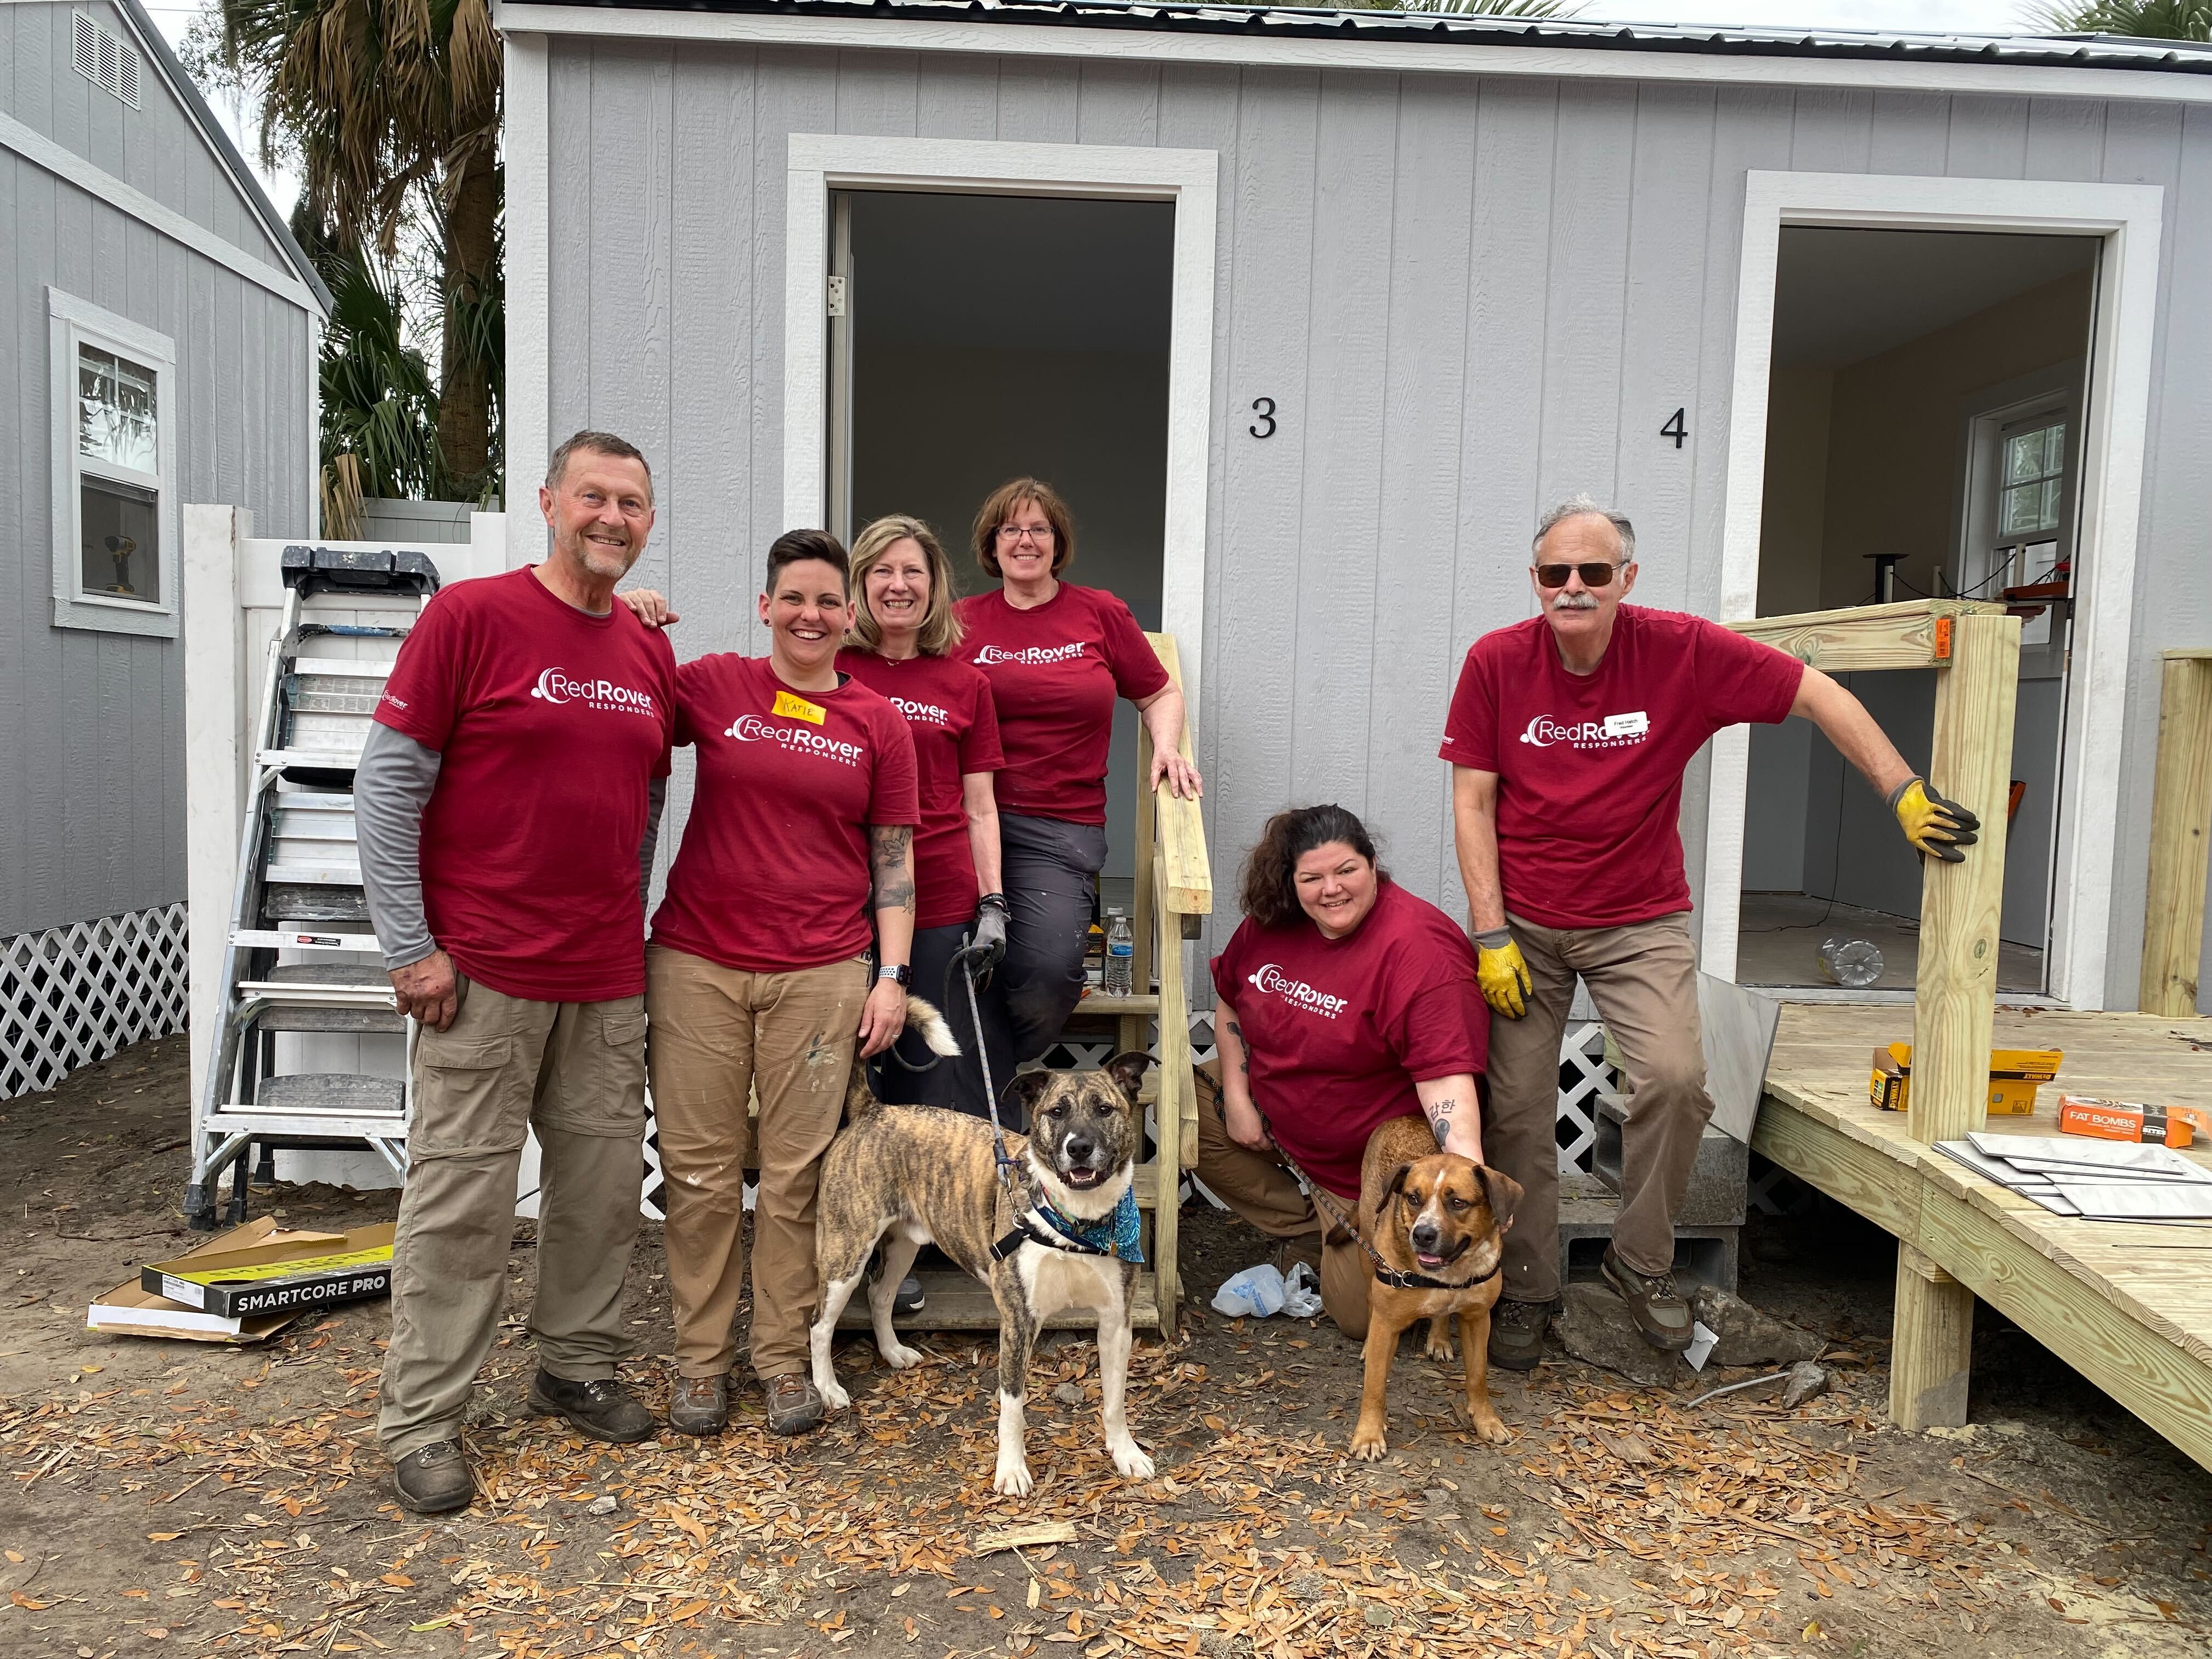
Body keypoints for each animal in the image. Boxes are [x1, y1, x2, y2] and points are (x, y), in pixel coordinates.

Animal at [814, 1057, 1159, 1504]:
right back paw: (827, 1388)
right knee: (821, 1325)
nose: (1079, 1147)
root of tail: (873, 1110)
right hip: (847, 1252)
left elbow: (1115, 1400)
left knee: (880, 1295)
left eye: (1104, 1109)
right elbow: (1012, 1405)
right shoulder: (1018, 1321)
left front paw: (1126, 1454)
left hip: (904, 1245)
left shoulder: (1117, 1321)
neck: (1078, 1221)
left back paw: (893, 1352)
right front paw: (1011, 1470)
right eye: (1057, 1112)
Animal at [1345, 1119, 1522, 1469]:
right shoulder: (1387, 1320)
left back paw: (1439, 1339)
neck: (1449, 1274)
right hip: (1367, 1255)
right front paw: (1369, 1434)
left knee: (1442, 1314)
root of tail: (1402, 1119)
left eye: (1458, 1203)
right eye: (1413, 1198)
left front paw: (1486, 1420)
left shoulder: (1478, 1319)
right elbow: (1374, 1385)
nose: (1423, 1235)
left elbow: (1478, 1375)